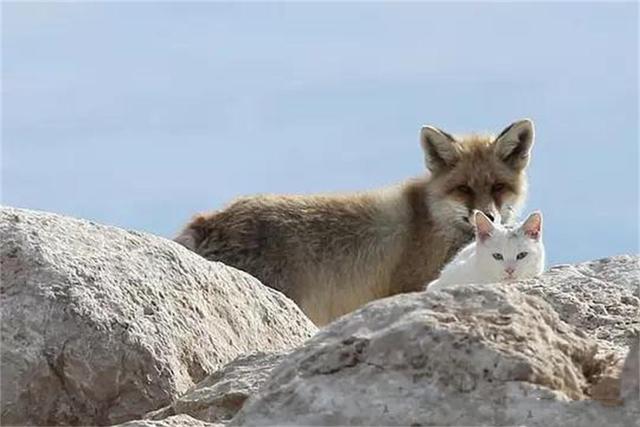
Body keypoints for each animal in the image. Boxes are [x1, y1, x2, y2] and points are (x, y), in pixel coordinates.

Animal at [174, 118, 536, 326]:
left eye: (498, 187)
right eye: (463, 189)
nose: (487, 215)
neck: (433, 218)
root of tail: (208, 219)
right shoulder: (408, 286)